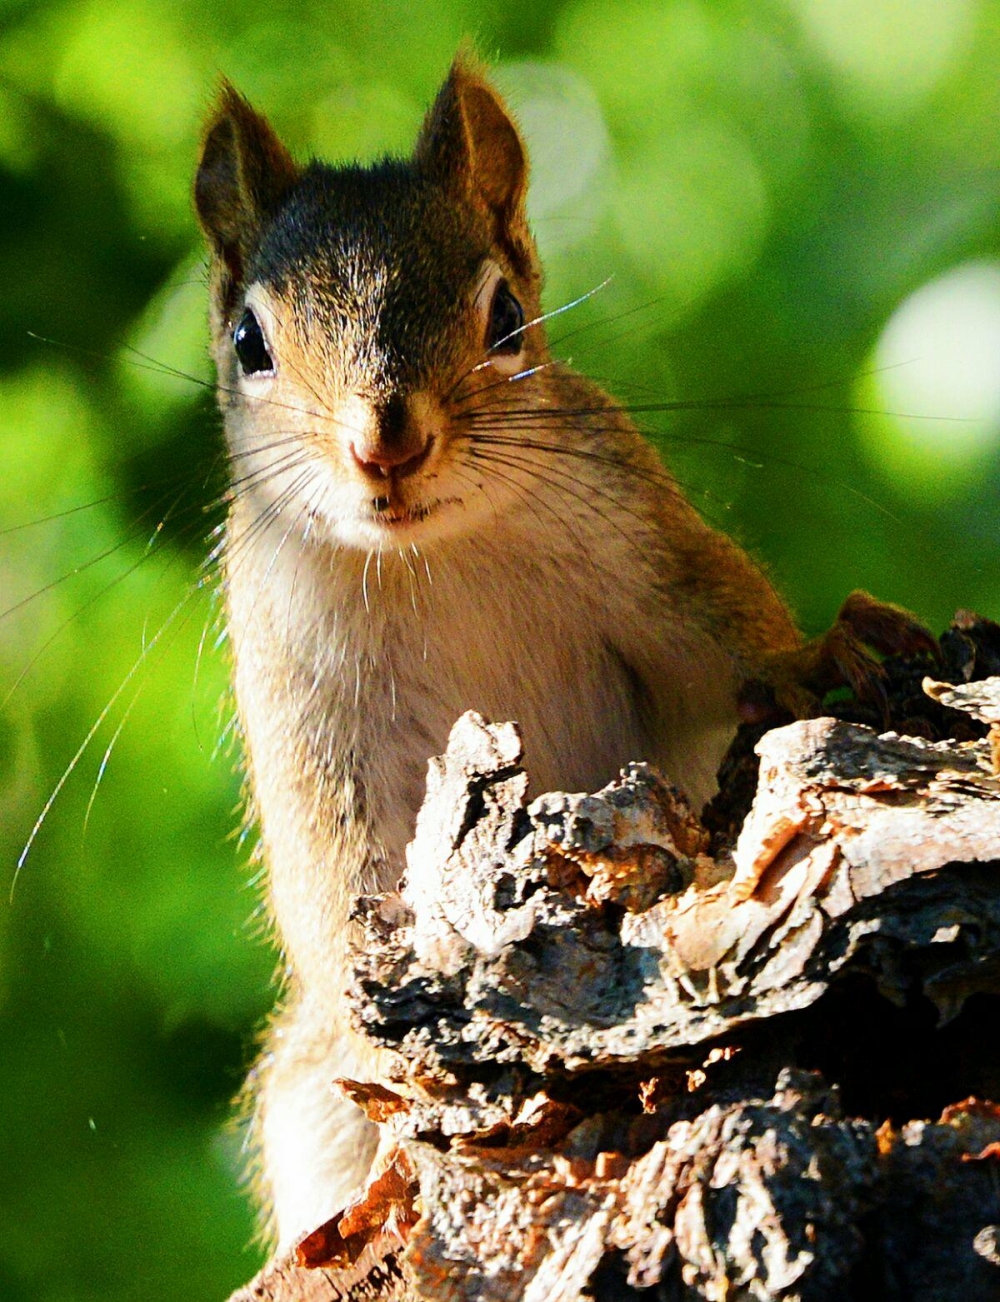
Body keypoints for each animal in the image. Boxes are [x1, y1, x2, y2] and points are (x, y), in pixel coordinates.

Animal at [190, 55, 927, 1255]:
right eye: (250, 343)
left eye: (506, 317)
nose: (385, 443)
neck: (429, 557)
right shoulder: (302, 711)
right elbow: (339, 886)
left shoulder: (648, 555)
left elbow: (728, 662)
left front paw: (826, 650)